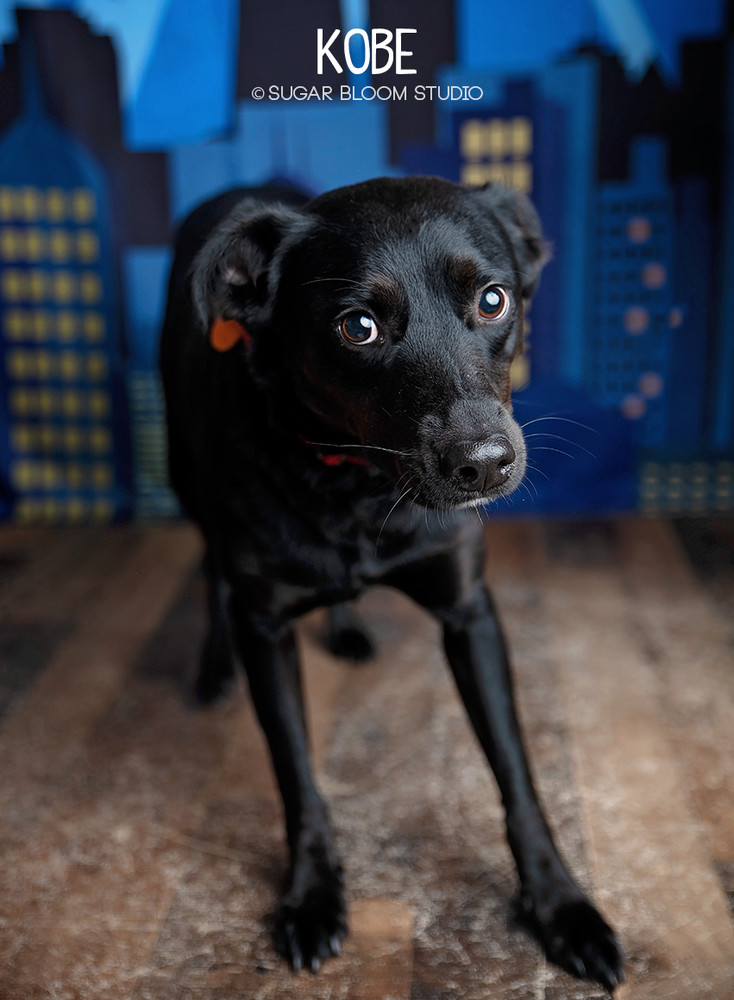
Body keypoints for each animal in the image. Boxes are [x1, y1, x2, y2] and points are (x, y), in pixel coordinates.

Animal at [161, 176, 628, 988]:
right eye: (360, 327)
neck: (360, 484)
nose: (483, 463)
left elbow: (518, 777)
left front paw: (560, 905)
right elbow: (296, 775)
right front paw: (311, 895)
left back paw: (348, 627)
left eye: (494, 300)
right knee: (213, 566)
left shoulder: (470, 614)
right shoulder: (268, 628)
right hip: (187, 480)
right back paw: (215, 665)